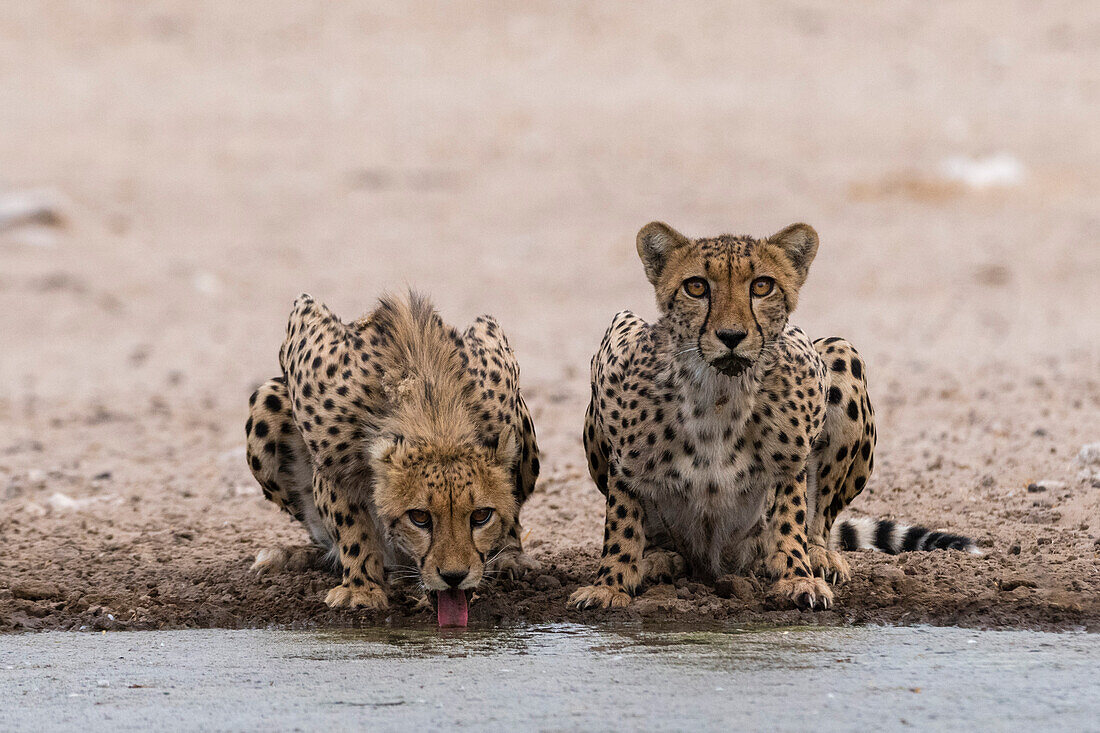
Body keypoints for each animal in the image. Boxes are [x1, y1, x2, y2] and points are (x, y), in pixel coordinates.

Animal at [247, 290, 543, 620]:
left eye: (481, 516)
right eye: (419, 517)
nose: (454, 577)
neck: (434, 413)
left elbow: (510, 505)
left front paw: (507, 554)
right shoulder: (331, 463)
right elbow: (349, 525)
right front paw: (361, 587)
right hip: (267, 403)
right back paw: (290, 555)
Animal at [572, 224, 976, 611]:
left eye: (762, 286)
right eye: (696, 287)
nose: (731, 335)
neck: (720, 393)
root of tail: (713, 565)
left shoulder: (801, 414)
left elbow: (791, 512)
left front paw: (798, 578)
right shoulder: (615, 376)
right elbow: (622, 521)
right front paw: (609, 585)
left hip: (842, 354)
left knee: (819, 519)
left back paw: (818, 557)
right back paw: (657, 560)